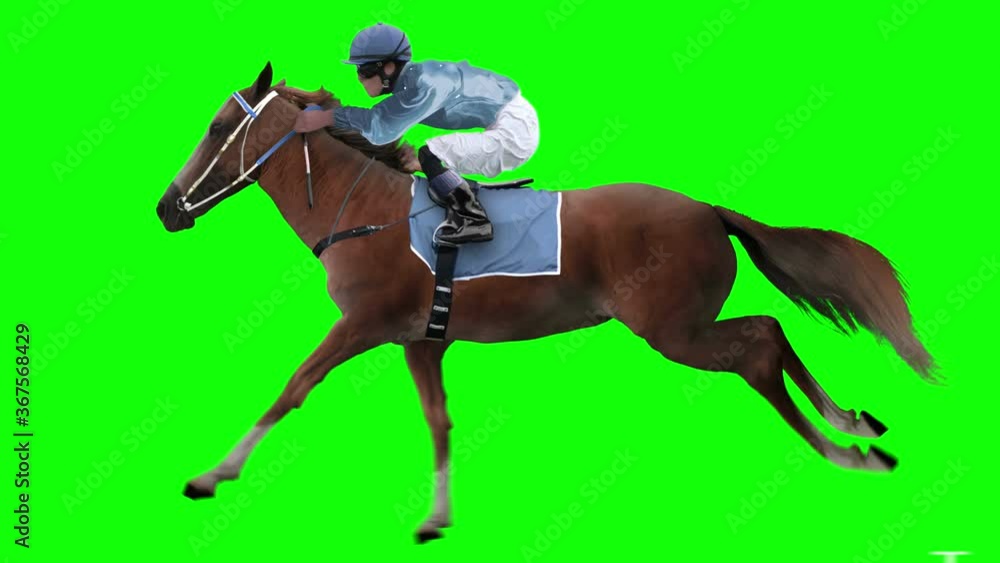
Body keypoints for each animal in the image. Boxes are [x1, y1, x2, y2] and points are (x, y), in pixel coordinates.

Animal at [156, 62, 938, 543]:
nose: (166, 209)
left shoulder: (364, 322)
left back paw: (845, 451)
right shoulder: (421, 337)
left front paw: (212, 473)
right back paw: (853, 422)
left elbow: (293, 387)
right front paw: (437, 517)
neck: (364, 209)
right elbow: (439, 421)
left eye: (219, 128)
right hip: (683, 323)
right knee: (770, 328)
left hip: (672, 329)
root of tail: (707, 210)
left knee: (757, 349)